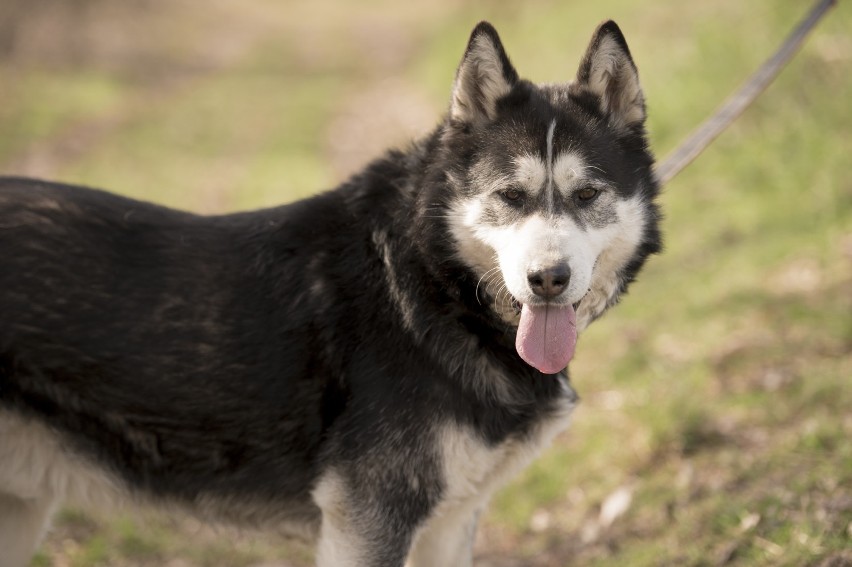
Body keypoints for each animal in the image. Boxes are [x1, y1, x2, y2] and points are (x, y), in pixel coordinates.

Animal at [0, 20, 660, 567]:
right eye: (511, 196)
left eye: (586, 195)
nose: (547, 279)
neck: (427, 288)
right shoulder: (366, 521)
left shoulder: (449, 523)